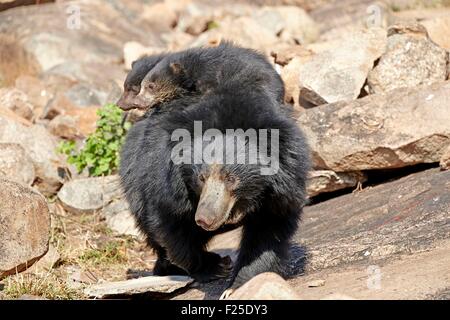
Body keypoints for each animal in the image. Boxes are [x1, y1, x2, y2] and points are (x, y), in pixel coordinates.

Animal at [118, 45, 310, 296]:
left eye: (231, 179)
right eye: (200, 178)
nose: (204, 219)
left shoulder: (281, 186)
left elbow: (269, 229)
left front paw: (239, 283)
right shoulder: (163, 179)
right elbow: (170, 222)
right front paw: (213, 266)